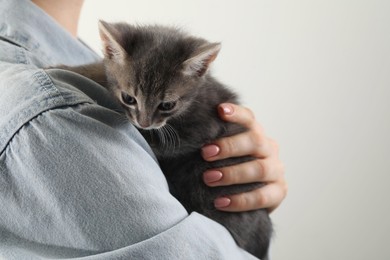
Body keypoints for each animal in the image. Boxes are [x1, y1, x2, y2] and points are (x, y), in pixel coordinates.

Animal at [63, 21, 272, 258]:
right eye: (129, 98)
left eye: (167, 105)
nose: (144, 122)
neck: (193, 99)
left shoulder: (202, 127)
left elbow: (158, 141)